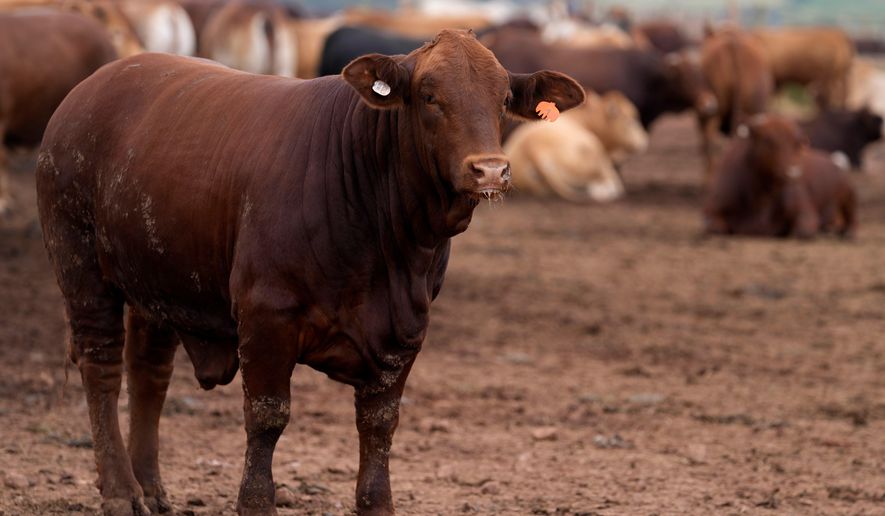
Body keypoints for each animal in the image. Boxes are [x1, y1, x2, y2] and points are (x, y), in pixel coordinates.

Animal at [36, 30, 584, 515]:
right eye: (430, 96)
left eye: (503, 97)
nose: (490, 170)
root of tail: (93, 86)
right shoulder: (266, 318)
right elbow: (268, 416)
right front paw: (256, 503)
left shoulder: (405, 332)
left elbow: (379, 426)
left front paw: (377, 504)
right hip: (80, 265)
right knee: (101, 367)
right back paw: (121, 491)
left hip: (157, 280)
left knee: (149, 372)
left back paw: (150, 489)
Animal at [704, 114, 856, 239]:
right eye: (769, 140)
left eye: (796, 144)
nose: (792, 173)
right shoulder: (712, 211)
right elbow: (716, 227)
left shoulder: (805, 211)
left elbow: (803, 231)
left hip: (849, 195)